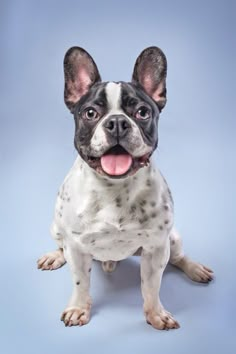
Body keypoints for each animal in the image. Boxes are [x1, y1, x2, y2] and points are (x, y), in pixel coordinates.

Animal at [37, 45, 214, 330]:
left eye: (142, 112)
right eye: (90, 113)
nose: (117, 122)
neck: (114, 188)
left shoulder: (156, 248)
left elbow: (152, 286)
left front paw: (156, 314)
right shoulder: (76, 248)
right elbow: (81, 282)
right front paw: (78, 308)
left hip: (172, 238)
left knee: (177, 258)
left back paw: (195, 268)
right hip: (55, 228)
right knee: (61, 246)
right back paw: (55, 255)